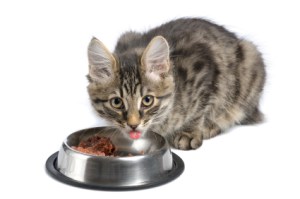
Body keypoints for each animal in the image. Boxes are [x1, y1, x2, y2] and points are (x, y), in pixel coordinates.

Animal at [86, 17, 264, 150]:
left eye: (147, 100)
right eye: (116, 102)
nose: (133, 125)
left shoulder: (204, 67)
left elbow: (200, 108)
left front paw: (189, 133)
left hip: (250, 59)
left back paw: (211, 126)